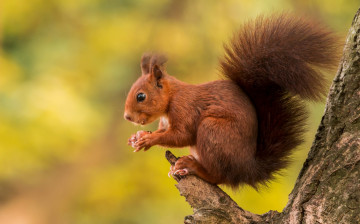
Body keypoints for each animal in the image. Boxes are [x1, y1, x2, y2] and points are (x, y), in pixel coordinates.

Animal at [123, 14, 338, 188]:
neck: (171, 98)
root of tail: (246, 169)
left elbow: (181, 136)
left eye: (141, 96)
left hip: (213, 131)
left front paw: (149, 139)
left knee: (219, 177)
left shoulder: (184, 108)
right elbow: (163, 132)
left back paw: (193, 166)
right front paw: (138, 136)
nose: (127, 117)